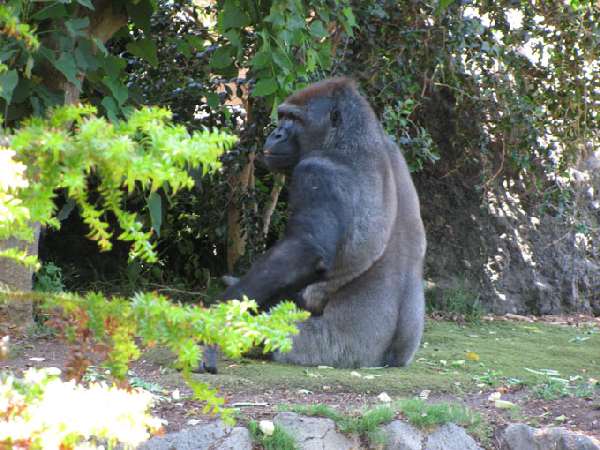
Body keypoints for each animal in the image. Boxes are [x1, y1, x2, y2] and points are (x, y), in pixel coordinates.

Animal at [218, 78, 424, 370]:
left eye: (293, 119)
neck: (348, 139)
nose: (276, 134)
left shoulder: (318, 170)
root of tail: (387, 361)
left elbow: (306, 249)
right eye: (282, 116)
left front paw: (230, 301)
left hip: (330, 351)